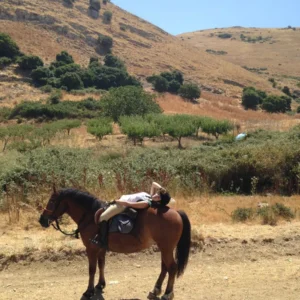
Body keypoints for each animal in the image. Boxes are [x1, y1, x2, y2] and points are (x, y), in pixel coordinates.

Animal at [38, 188, 191, 300]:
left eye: (52, 200)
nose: (42, 220)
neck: (90, 215)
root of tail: (176, 212)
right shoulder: (100, 248)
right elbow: (101, 264)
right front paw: (100, 285)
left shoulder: (91, 249)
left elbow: (92, 269)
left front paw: (89, 291)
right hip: (164, 248)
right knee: (164, 267)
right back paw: (155, 290)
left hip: (166, 248)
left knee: (172, 267)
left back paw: (167, 293)